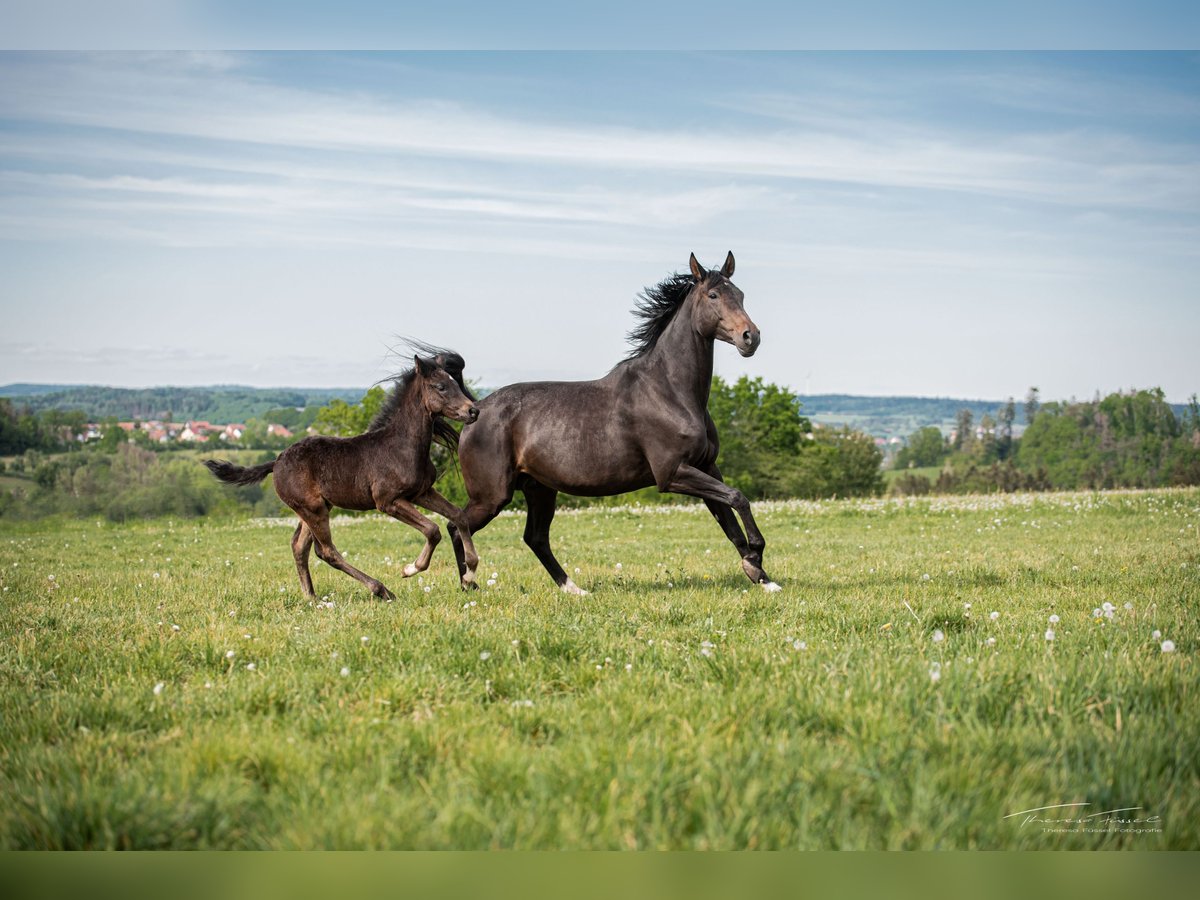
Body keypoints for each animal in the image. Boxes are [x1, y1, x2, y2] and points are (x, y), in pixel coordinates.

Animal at [208, 350, 480, 600]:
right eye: (440, 387)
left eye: (455, 383)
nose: (473, 411)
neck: (402, 445)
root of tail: (276, 461)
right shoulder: (387, 502)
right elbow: (432, 530)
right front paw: (410, 568)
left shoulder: (422, 492)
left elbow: (458, 516)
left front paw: (469, 573)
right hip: (313, 509)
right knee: (326, 551)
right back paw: (380, 589)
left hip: (315, 508)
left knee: (300, 546)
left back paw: (312, 597)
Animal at [451, 252, 777, 592]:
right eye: (713, 295)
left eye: (740, 294)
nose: (750, 337)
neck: (669, 390)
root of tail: (475, 408)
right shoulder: (673, 473)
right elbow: (738, 498)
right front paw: (757, 555)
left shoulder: (706, 466)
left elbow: (729, 519)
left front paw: (761, 576)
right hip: (492, 496)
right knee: (457, 525)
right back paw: (469, 583)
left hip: (539, 489)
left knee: (534, 538)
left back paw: (574, 590)